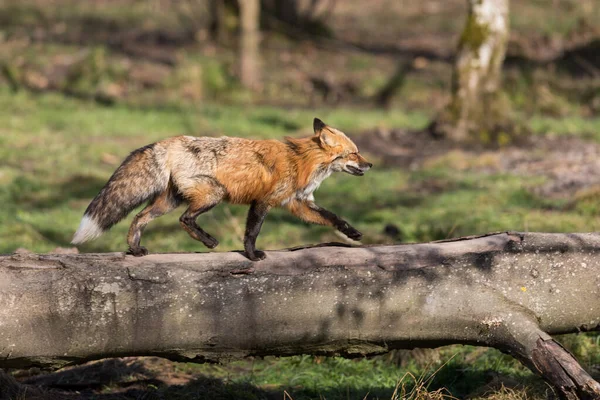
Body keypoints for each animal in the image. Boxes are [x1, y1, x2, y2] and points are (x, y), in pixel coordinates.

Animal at [70, 117, 370, 260]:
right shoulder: (264, 201)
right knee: (185, 219)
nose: (370, 165)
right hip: (213, 194)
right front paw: (252, 256)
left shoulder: (298, 203)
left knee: (139, 218)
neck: (303, 160)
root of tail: (167, 142)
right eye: (354, 153)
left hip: (169, 201)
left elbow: (333, 218)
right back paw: (208, 240)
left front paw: (352, 233)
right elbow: (252, 232)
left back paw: (134, 249)